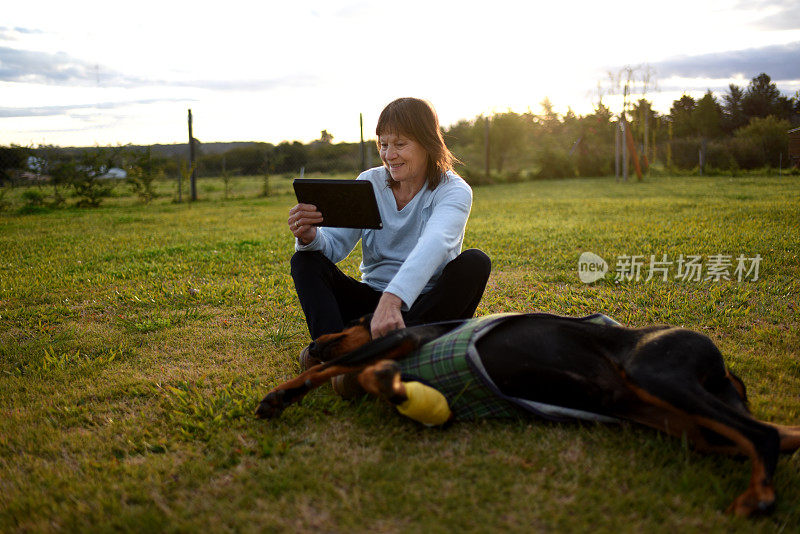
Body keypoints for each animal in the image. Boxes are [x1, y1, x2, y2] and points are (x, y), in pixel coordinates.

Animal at [256, 314, 800, 520]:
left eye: (347, 322)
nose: (311, 342)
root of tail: (726, 370)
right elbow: (356, 373)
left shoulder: (406, 338)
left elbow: (342, 368)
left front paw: (285, 394)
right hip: (686, 424)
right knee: (777, 434)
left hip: (658, 372)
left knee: (763, 436)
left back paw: (758, 497)